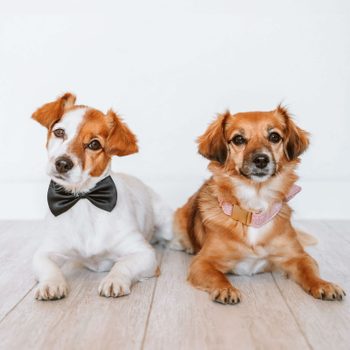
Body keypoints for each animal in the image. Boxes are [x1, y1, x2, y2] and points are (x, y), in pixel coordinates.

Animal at [31, 93, 172, 300]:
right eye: (59, 132)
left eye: (94, 144)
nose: (62, 163)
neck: (83, 199)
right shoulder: (45, 251)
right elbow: (48, 267)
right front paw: (52, 283)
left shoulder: (144, 254)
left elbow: (123, 264)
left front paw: (114, 279)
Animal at [172, 106, 344, 304]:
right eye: (238, 139)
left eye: (274, 137)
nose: (261, 159)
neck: (254, 208)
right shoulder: (202, 262)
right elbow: (217, 276)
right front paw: (225, 288)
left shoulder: (299, 257)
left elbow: (309, 271)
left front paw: (324, 284)